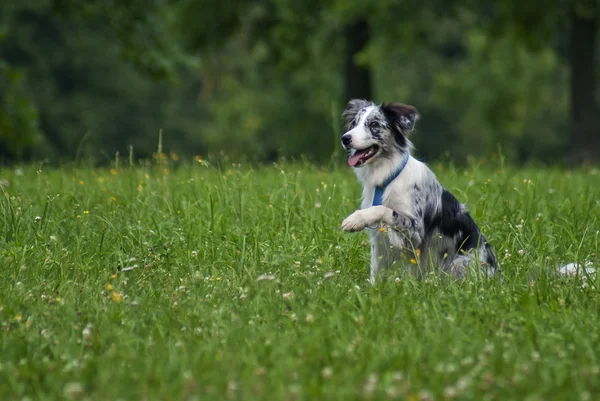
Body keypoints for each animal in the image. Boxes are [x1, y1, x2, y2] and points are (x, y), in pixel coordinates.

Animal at [340, 98, 500, 282]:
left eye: (374, 124)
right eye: (354, 123)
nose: (345, 138)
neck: (388, 177)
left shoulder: (415, 231)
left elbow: (383, 209)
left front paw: (355, 219)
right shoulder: (379, 241)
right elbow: (376, 271)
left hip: (459, 263)